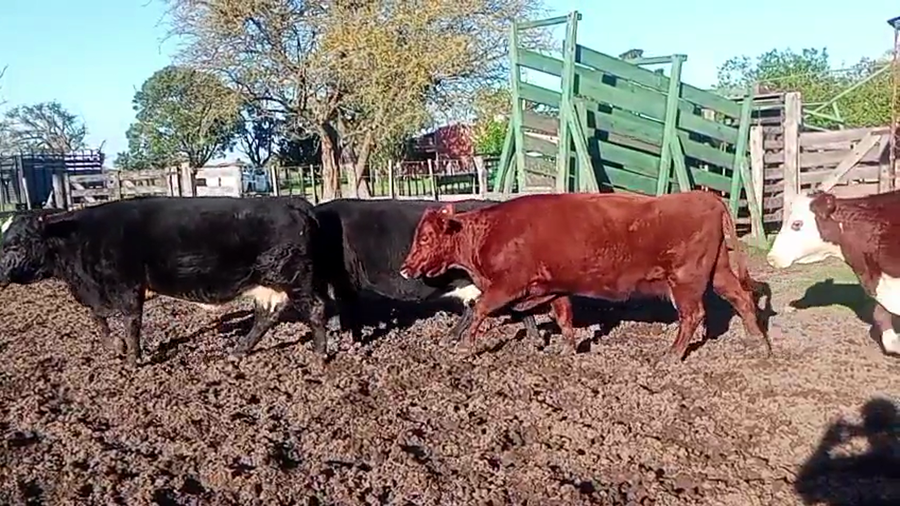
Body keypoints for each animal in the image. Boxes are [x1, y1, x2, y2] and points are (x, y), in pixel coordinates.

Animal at [0, 196, 328, 366]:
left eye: (14, 243)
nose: (0, 273)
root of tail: (292, 202)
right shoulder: (99, 290)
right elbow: (98, 317)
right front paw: (114, 346)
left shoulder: (128, 285)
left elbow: (131, 322)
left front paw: (132, 359)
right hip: (269, 284)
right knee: (265, 318)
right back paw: (236, 352)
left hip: (293, 277)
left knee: (315, 310)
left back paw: (319, 356)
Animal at [400, 191, 771, 361]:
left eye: (426, 238)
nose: (406, 268)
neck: (491, 233)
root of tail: (705, 196)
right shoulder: (556, 286)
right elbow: (563, 316)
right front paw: (567, 347)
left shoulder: (506, 286)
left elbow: (480, 310)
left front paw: (465, 346)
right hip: (717, 271)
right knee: (741, 297)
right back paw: (758, 342)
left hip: (686, 280)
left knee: (693, 314)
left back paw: (671, 353)